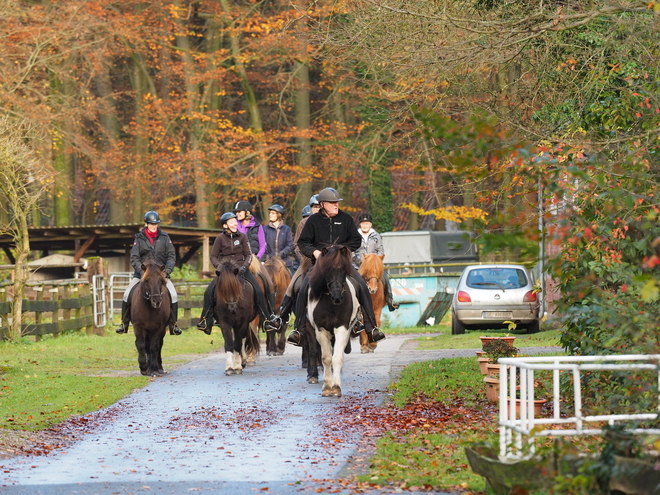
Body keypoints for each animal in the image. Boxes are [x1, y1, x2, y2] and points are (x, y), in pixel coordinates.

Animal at [302, 245, 358, 400]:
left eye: (344, 270)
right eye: (326, 270)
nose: (337, 297)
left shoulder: (342, 328)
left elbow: (336, 358)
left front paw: (336, 387)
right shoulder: (321, 330)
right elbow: (326, 358)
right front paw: (327, 388)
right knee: (314, 351)